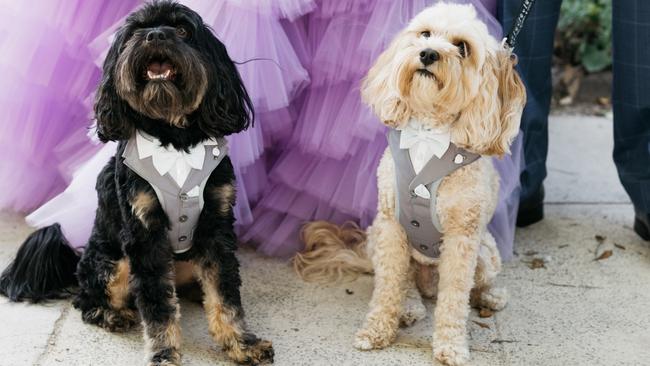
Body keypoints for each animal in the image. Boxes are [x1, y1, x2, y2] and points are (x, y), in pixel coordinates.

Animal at [0, 1, 272, 364]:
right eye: (134, 32)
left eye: (183, 29)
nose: (155, 34)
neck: (175, 139)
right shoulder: (145, 234)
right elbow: (157, 305)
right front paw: (164, 353)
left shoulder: (216, 226)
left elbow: (224, 293)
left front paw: (241, 343)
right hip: (113, 259)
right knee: (88, 298)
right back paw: (112, 314)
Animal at [294, 1, 528, 364]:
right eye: (425, 33)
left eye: (462, 47)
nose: (428, 53)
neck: (428, 133)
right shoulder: (391, 227)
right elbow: (389, 285)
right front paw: (377, 330)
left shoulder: (462, 237)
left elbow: (454, 298)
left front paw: (451, 344)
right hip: (377, 238)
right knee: (407, 285)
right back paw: (409, 306)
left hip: (486, 251)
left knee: (472, 286)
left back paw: (489, 296)